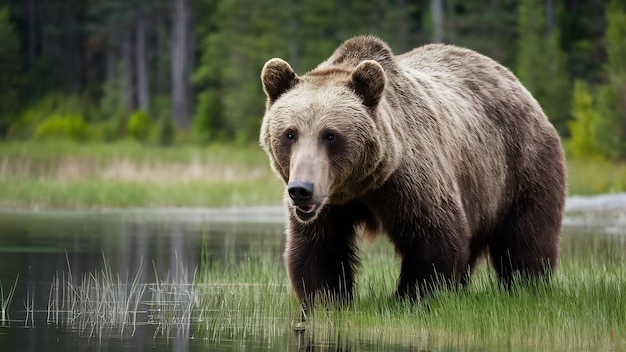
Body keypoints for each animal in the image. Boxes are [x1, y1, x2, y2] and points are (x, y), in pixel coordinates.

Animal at [258, 34, 564, 306]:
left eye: (330, 135)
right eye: (289, 134)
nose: (302, 190)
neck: (360, 184)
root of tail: (515, 82)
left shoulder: (409, 180)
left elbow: (433, 236)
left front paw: (411, 296)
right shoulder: (329, 204)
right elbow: (319, 247)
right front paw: (325, 300)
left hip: (520, 165)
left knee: (525, 236)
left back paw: (526, 285)